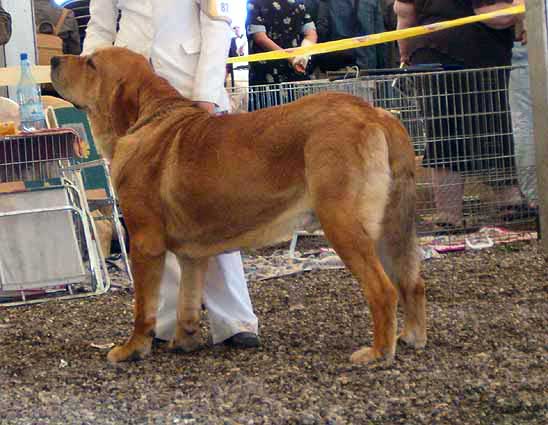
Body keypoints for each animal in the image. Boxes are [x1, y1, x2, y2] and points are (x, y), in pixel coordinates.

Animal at [50, 48, 428, 362]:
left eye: (91, 63)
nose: (53, 60)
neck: (149, 118)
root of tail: (376, 113)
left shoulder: (144, 242)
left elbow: (144, 307)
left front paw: (131, 349)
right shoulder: (192, 254)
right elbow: (188, 301)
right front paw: (184, 341)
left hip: (343, 223)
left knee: (383, 290)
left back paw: (378, 352)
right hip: (389, 227)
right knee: (411, 281)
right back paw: (411, 336)